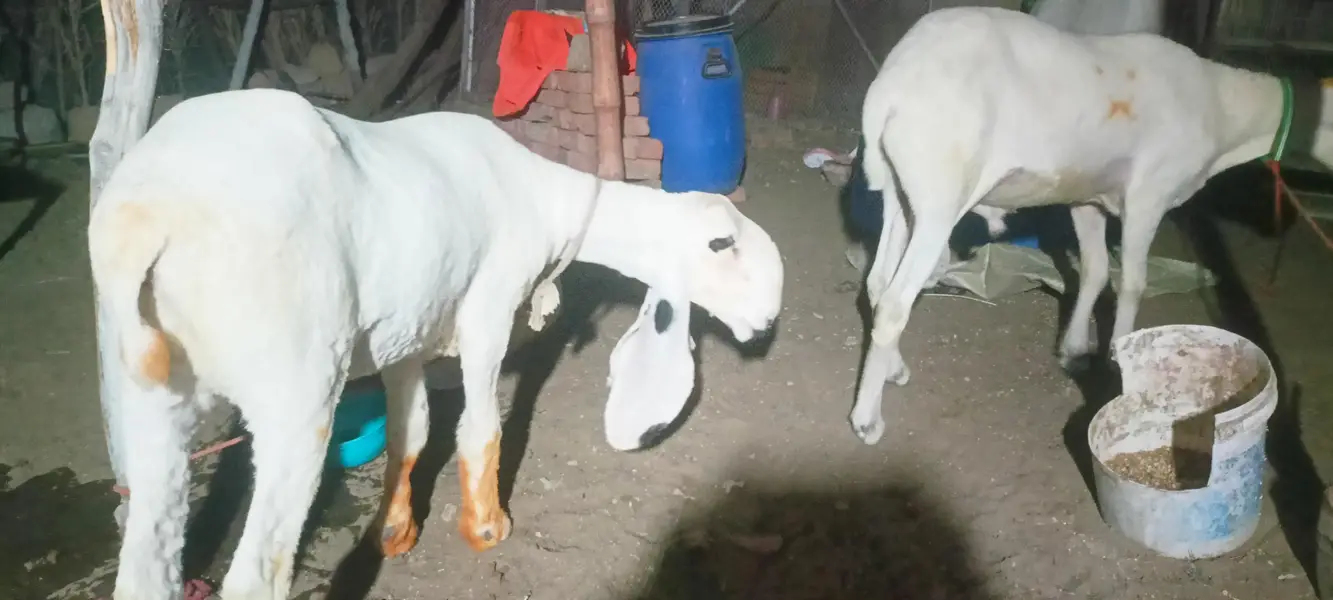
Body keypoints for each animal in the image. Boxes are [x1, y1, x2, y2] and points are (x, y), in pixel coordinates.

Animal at [88, 88, 784, 600]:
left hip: (151, 399)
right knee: (257, 575)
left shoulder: (406, 336)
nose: (769, 320)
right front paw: (487, 527)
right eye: (726, 245)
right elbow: (480, 428)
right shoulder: (488, 310)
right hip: (297, 387)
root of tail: (146, 217)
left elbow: (413, 433)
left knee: (147, 565)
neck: (550, 202)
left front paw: (395, 531)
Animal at [850, 6, 1332, 445]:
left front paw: (1075, 347)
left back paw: (892, 369)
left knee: (877, 282)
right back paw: (867, 419)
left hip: (901, 193)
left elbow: (1096, 270)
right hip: (940, 197)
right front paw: (1118, 361)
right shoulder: (1148, 196)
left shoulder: (1088, 199)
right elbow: (1132, 282)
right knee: (894, 303)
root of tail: (892, 84)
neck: (1222, 108)